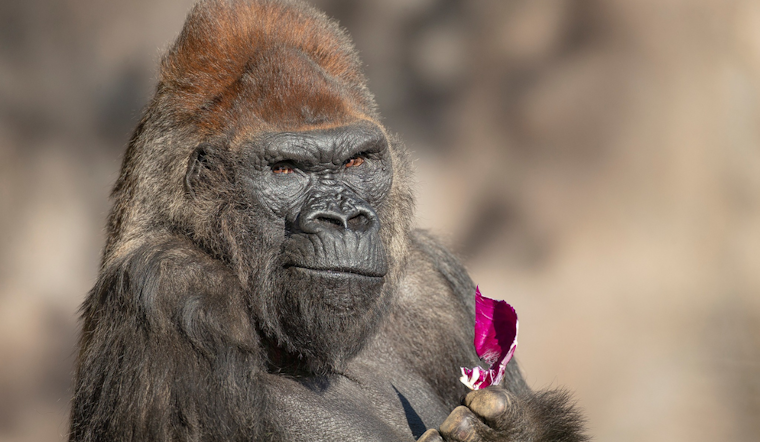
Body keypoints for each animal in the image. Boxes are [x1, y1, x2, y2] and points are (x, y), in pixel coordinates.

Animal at [68, 1, 587, 441]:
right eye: (286, 170)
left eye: (356, 161)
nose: (343, 218)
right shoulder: (171, 283)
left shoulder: (434, 281)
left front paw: (515, 430)